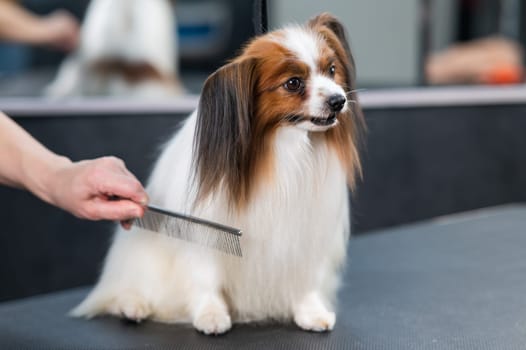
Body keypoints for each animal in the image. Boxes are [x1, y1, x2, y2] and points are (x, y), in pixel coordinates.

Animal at [72, 13, 366, 334]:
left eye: (332, 70)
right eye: (293, 83)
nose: (339, 100)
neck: (282, 148)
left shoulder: (305, 232)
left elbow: (305, 281)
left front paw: (310, 312)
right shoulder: (207, 233)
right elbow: (206, 280)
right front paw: (211, 315)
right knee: (129, 288)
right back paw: (132, 305)